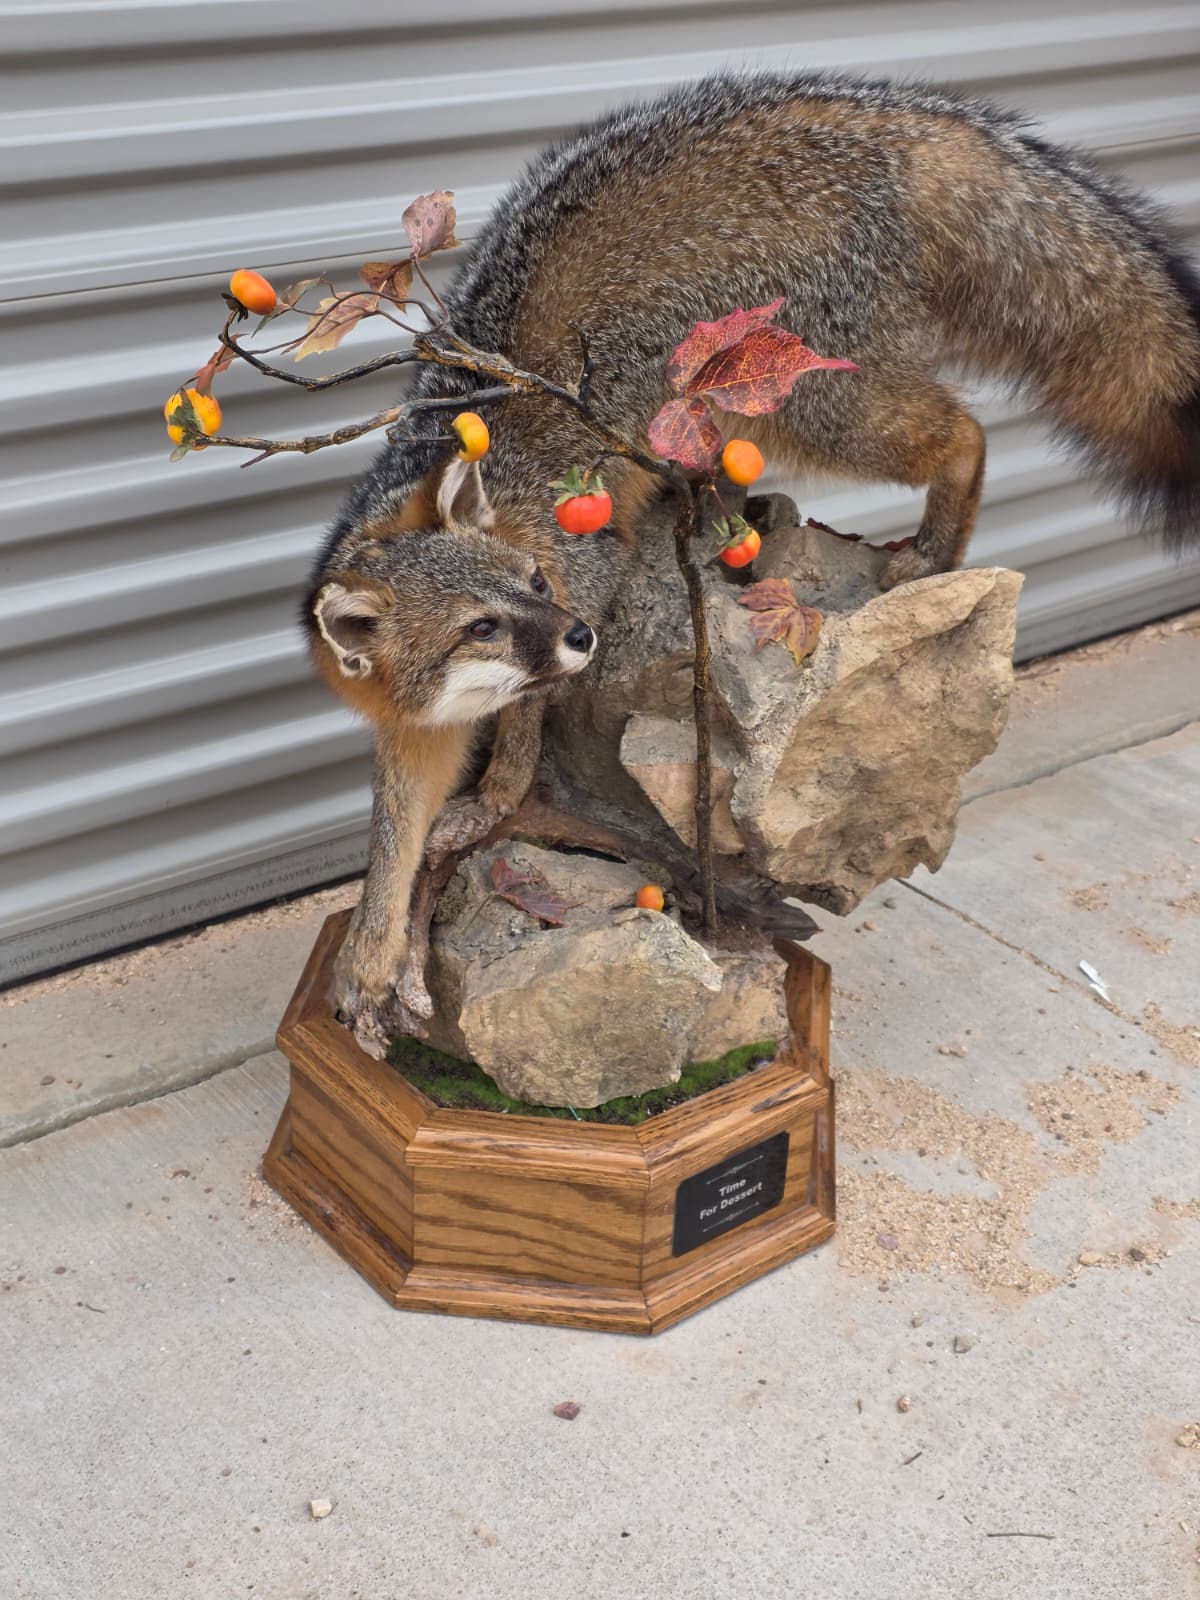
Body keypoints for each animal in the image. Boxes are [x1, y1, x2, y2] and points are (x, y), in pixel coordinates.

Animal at [307, 70, 1200, 1045]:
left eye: (534, 586)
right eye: (480, 629)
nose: (579, 637)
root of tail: (893, 123)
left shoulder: (586, 572)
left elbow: (521, 732)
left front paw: (499, 795)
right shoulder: (413, 732)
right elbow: (390, 847)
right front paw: (370, 961)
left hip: (813, 402)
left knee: (963, 431)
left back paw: (933, 549)